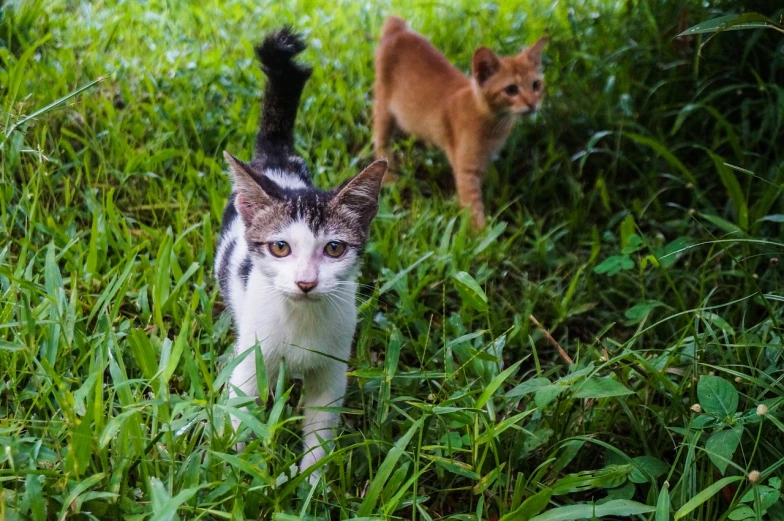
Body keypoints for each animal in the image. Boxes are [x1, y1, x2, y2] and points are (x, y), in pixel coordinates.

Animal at [213, 28, 388, 482]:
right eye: (280, 247)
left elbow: (320, 431)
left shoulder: (332, 367)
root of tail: (277, 162)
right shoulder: (251, 360)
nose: (306, 282)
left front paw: (311, 483)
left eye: (334, 248)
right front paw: (234, 473)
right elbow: (241, 413)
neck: (301, 323)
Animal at [374, 17, 544, 228]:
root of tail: (398, 28)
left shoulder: (483, 162)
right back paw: (390, 179)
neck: (493, 123)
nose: (532, 104)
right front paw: (484, 235)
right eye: (511, 89)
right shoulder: (466, 171)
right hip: (383, 108)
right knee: (380, 141)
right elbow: (473, 209)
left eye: (536, 85)